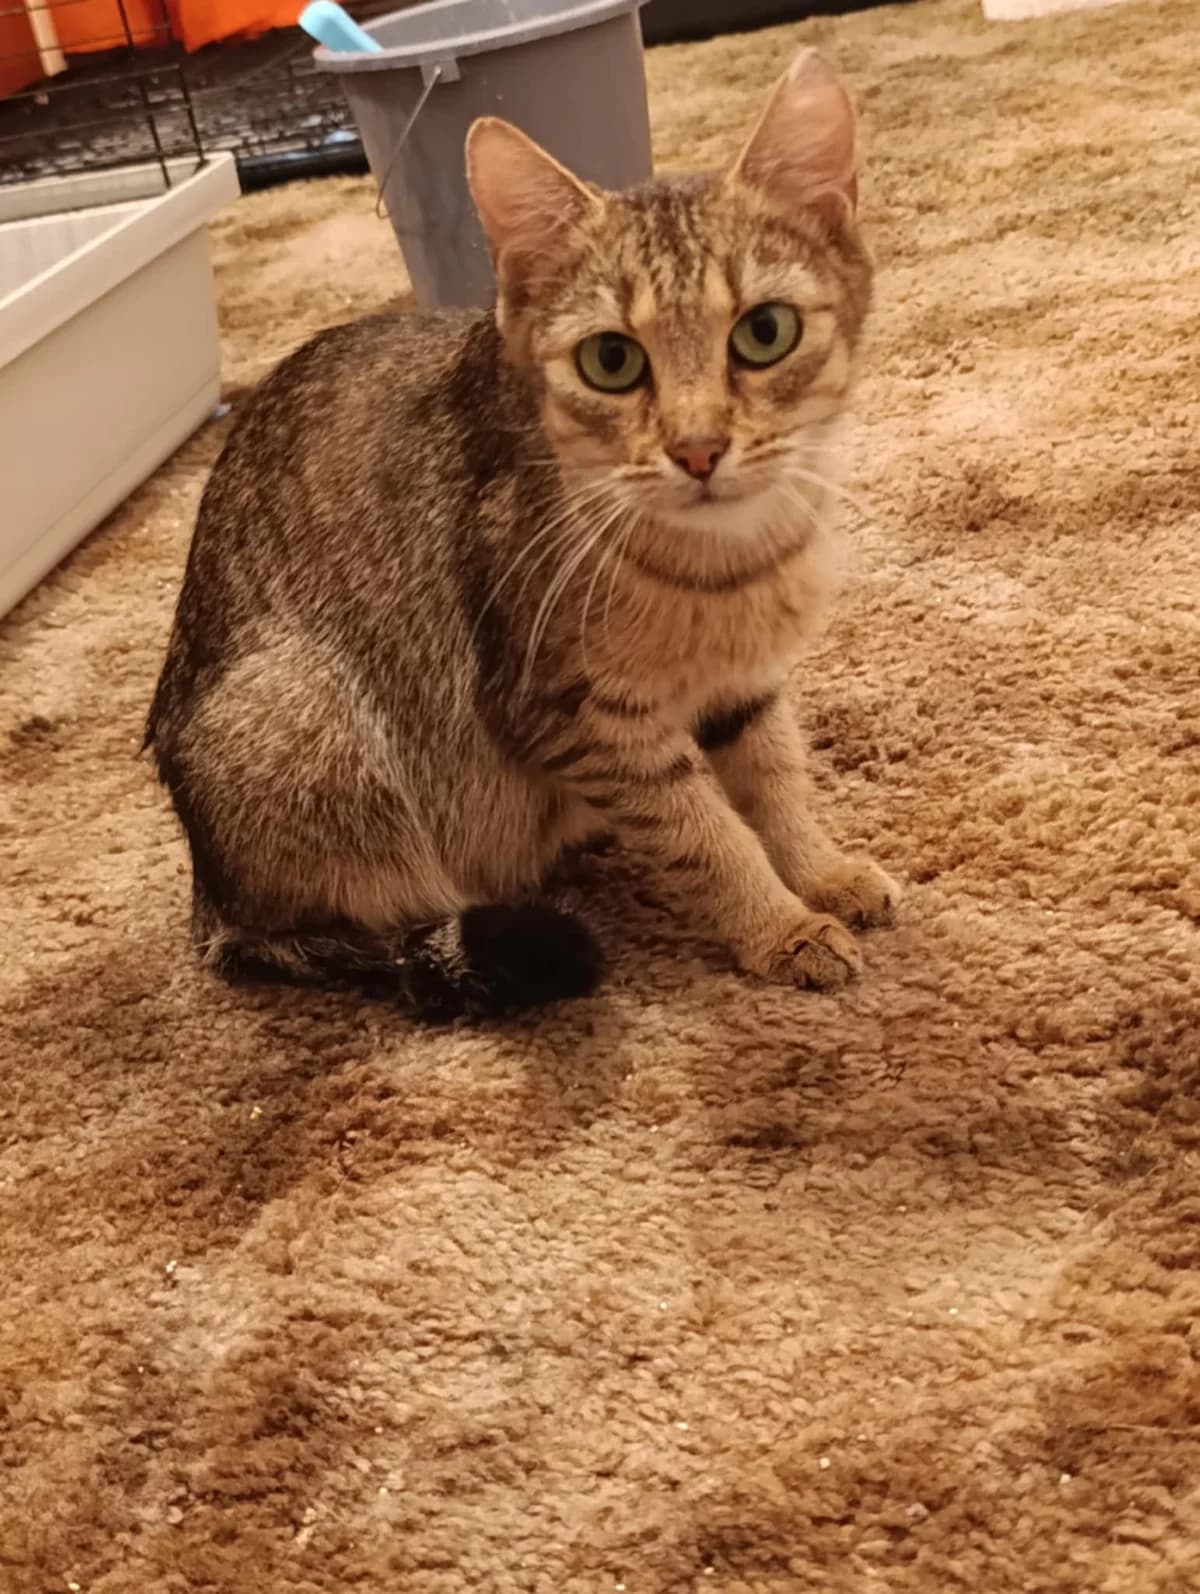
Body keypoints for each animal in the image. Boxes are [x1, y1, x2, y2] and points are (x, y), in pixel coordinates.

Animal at [145, 47, 899, 1021]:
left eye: (765, 332)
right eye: (611, 360)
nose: (698, 448)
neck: (729, 565)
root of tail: (210, 898)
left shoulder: (746, 686)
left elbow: (775, 783)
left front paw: (820, 872)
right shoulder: (577, 717)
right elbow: (706, 831)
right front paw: (778, 924)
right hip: (301, 724)